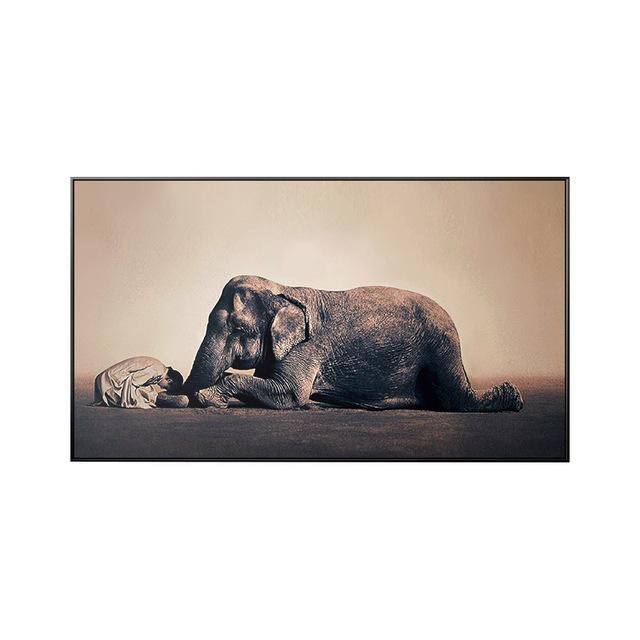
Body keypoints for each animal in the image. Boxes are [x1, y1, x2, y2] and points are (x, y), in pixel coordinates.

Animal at [183, 275, 524, 412]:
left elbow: (289, 395)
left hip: (442, 343)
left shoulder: (308, 348)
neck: (283, 288)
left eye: (238, 328)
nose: (178, 392)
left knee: (457, 399)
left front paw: (207, 396)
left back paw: (512, 398)